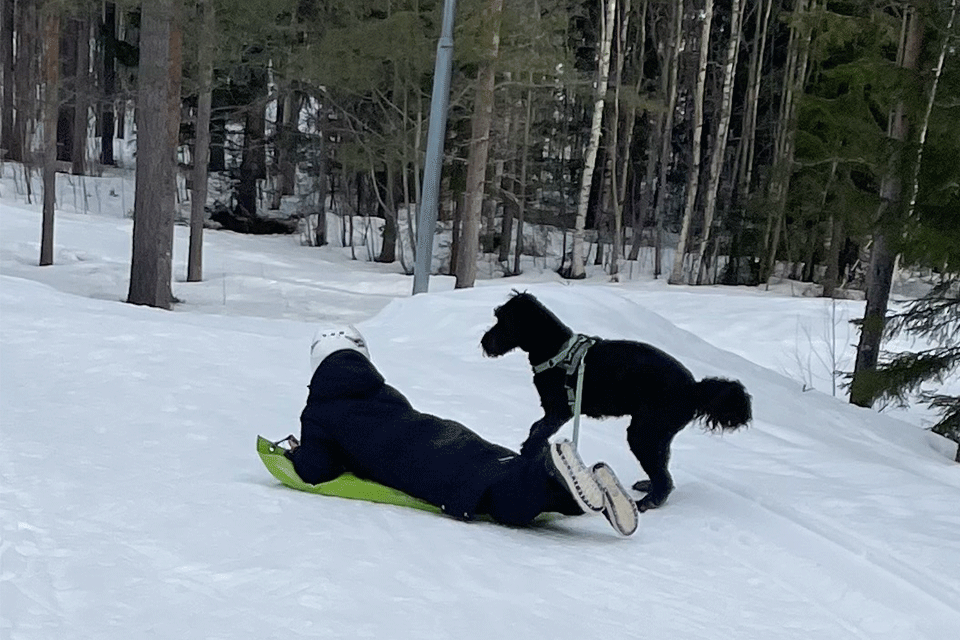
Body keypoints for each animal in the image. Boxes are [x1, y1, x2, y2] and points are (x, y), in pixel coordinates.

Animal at [480, 292, 752, 510]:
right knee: (662, 469)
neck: (554, 349)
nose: (484, 342)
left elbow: (537, 433)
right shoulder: (553, 413)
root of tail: (693, 388)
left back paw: (648, 502)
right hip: (657, 434)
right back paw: (648, 487)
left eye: (502, 320)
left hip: (645, 432)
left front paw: (526, 456)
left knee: (663, 478)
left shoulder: (559, 411)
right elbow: (536, 430)